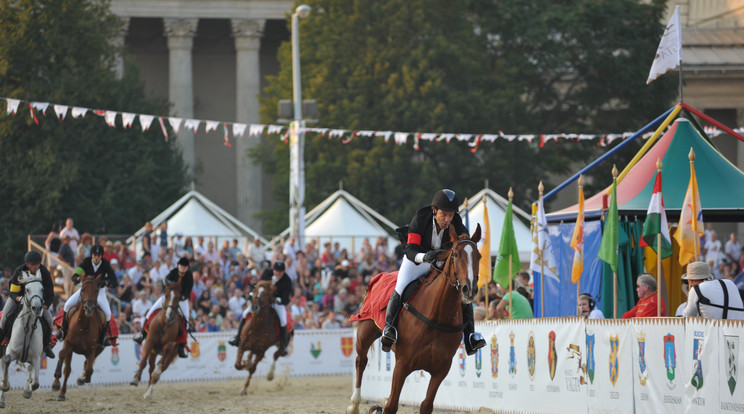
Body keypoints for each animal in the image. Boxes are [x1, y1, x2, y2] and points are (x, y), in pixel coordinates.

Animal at [0, 270, 44, 410]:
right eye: (27, 289)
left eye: (42, 289)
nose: (37, 308)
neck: (27, 326)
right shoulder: (11, 351)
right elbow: (7, 361)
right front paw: (5, 385)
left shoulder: (36, 357)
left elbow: (35, 383)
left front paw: (27, 391)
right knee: (3, 366)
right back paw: (2, 399)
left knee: (29, 369)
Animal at [50, 274, 105, 402]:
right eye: (82, 290)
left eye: (97, 290)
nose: (89, 308)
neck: (83, 325)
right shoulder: (68, 344)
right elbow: (62, 357)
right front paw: (56, 384)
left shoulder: (92, 349)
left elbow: (89, 368)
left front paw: (84, 378)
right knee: (66, 367)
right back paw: (61, 391)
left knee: (87, 364)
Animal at [348, 225, 482, 414]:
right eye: (455, 254)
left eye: (479, 256)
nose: (468, 290)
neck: (437, 315)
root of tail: (379, 276)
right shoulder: (403, 364)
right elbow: (391, 405)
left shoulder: (441, 369)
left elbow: (426, 405)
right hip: (365, 332)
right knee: (361, 360)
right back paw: (354, 404)